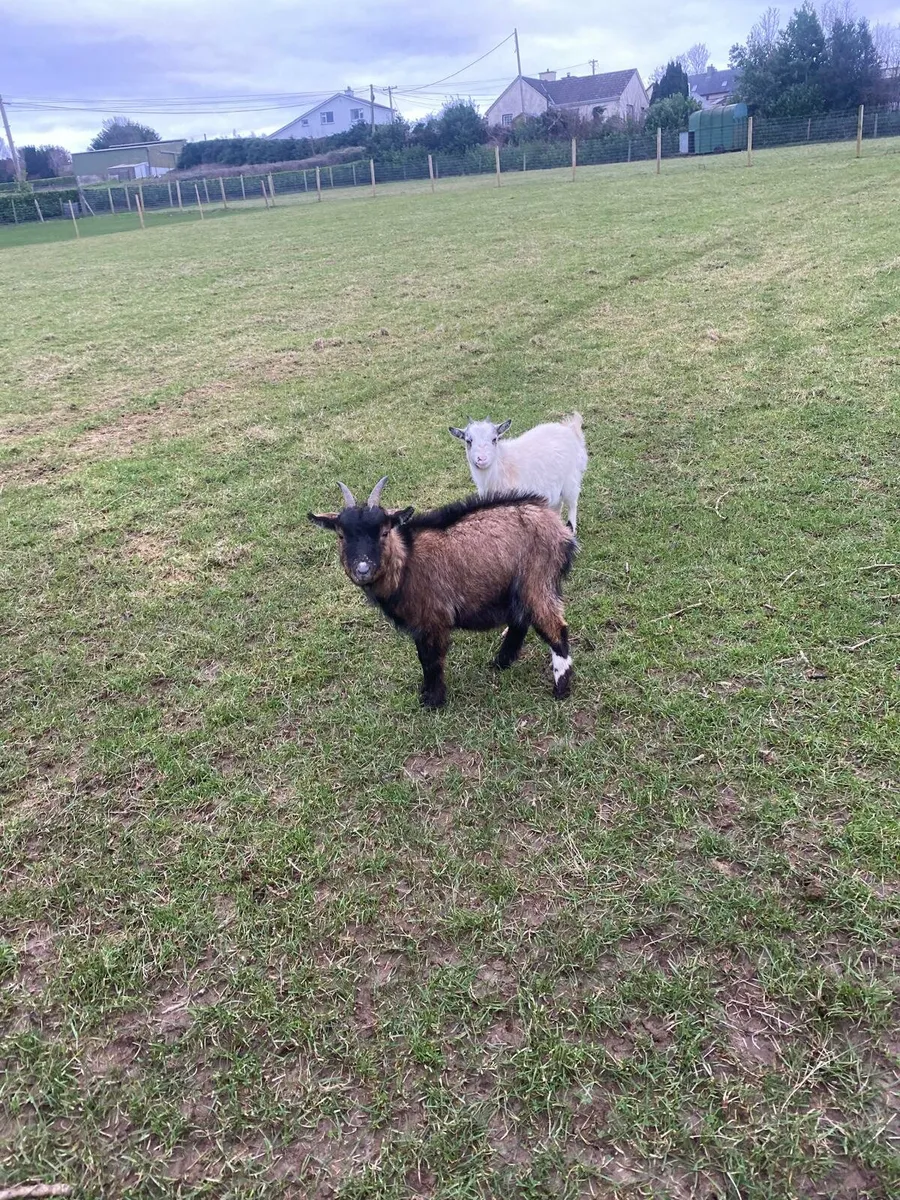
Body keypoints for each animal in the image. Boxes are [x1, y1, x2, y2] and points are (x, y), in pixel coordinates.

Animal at [309, 477, 577, 709]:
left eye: (384, 532)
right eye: (341, 535)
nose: (363, 569)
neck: (406, 560)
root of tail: (561, 530)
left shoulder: (432, 618)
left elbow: (431, 660)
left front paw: (432, 700)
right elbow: (424, 658)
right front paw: (427, 693)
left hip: (537, 579)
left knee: (555, 628)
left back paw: (560, 688)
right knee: (521, 620)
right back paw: (501, 662)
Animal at [449, 413, 588, 533]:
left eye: (494, 439)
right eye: (468, 441)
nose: (482, 459)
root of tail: (570, 429)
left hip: (571, 480)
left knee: (572, 504)